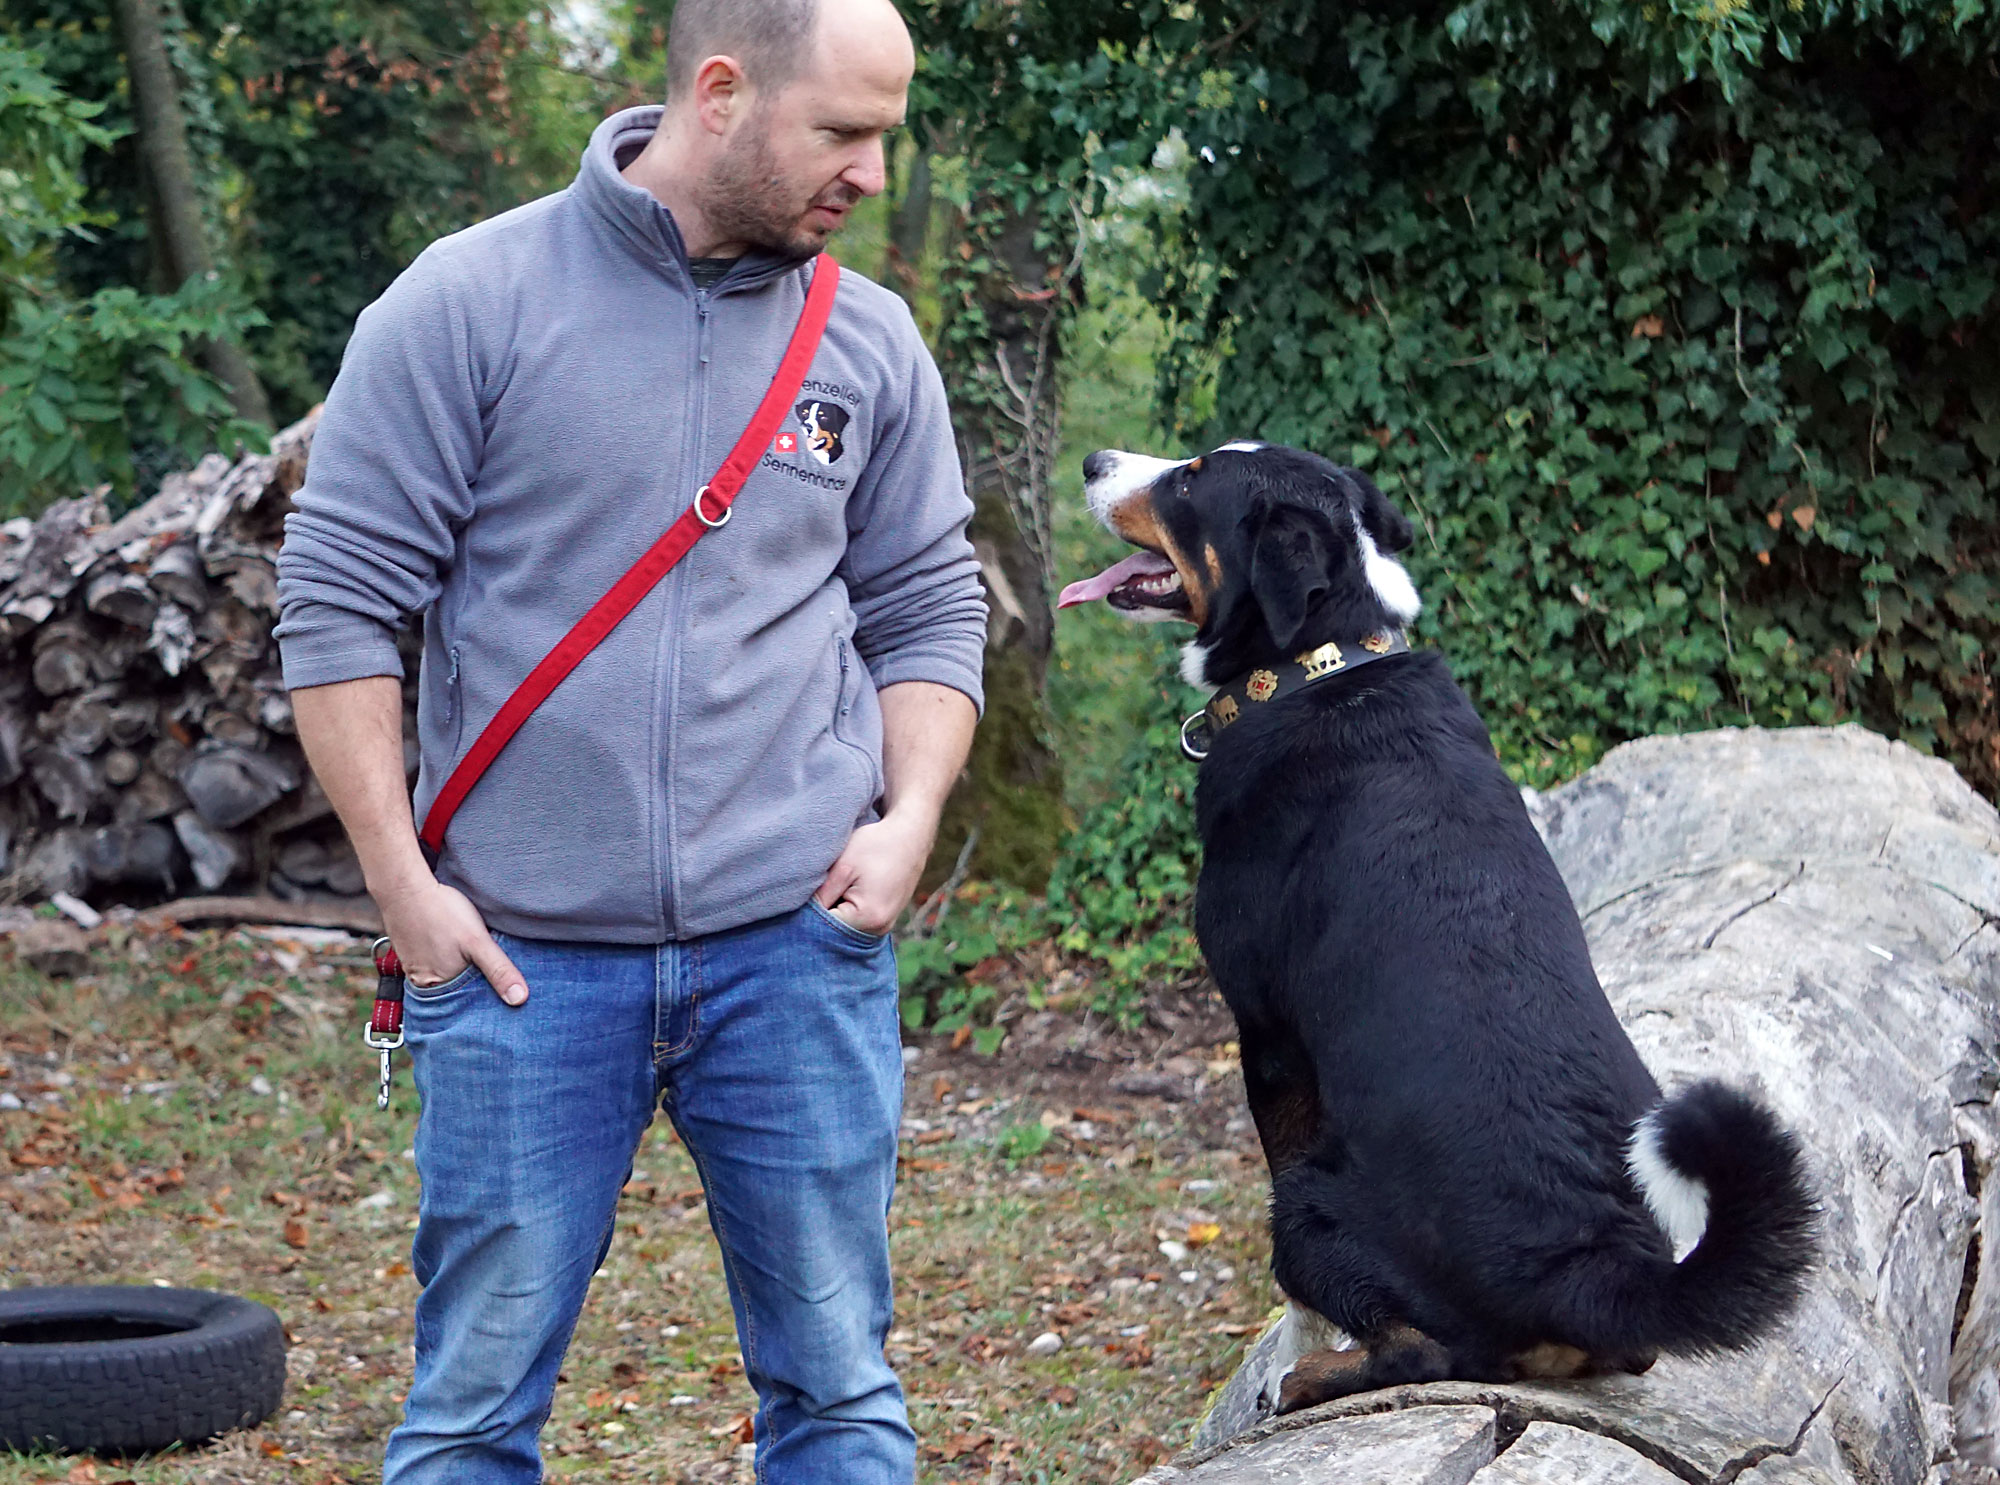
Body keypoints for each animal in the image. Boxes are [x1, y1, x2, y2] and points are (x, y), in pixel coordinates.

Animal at [1064, 444, 1816, 1416]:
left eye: (1190, 478)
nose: (1093, 460)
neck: (1322, 666)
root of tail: (1594, 1263)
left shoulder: (1269, 1038)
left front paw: (1292, 1354)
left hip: (1310, 1201)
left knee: (1426, 1348)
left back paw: (1309, 1379)